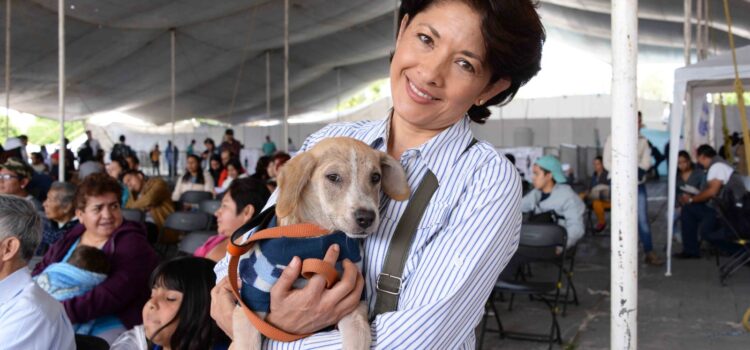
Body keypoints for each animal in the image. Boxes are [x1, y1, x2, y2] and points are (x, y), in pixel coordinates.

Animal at [234, 137, 412, 350]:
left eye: (376, 177)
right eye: (333, 177)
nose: (366, 218)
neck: (316, 234)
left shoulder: (353, 306)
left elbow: (356, 339)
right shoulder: (250, 303)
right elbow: (247, 342)